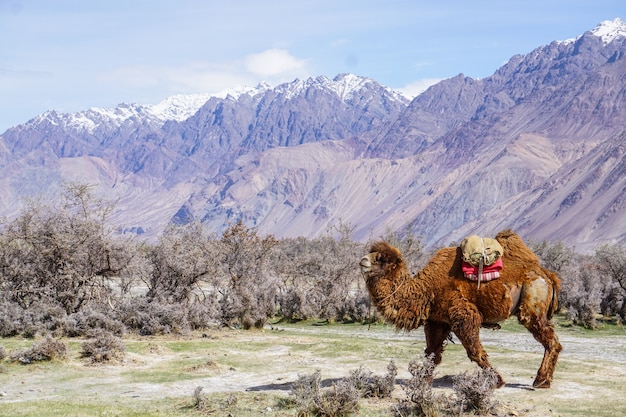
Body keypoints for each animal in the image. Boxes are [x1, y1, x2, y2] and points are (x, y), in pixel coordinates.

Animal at [360, 229, 560, 388]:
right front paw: (423, 381)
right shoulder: (437, 320)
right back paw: (545, 381)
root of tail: (547, 275)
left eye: (382, 259)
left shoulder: (464, 316)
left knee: (549, 339)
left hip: (533, 300)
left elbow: (474, 351)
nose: (363, 260)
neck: (427, 290)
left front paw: (497, 380)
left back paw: (540, 380)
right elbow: (432, 353)